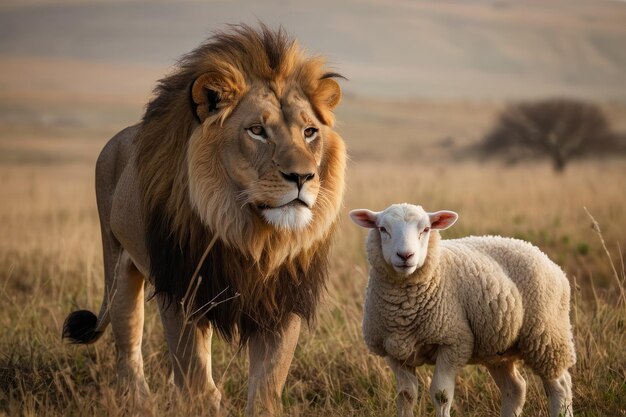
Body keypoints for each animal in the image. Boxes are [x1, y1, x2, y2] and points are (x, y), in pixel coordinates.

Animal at [61, 24, 344, 414]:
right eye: (257, 131)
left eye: (309, 132)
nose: (302, 177)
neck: (251, 233)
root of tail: (116, 139)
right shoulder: (181, 290)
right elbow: (194, 375)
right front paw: (200, 402)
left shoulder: (281, 298)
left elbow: (267, 383)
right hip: (118, 262)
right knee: (127, 337)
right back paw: (139, 399)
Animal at [348, 203, 572, 416]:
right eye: (382, 229)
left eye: (426, 229)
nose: (405, 255)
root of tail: (542, 255)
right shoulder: (392, 350)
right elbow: (406, 394)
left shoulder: (453, 342)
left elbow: (441, 394)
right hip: (498, 349)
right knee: (515, 388)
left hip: (547, 337)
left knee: (560, 385)